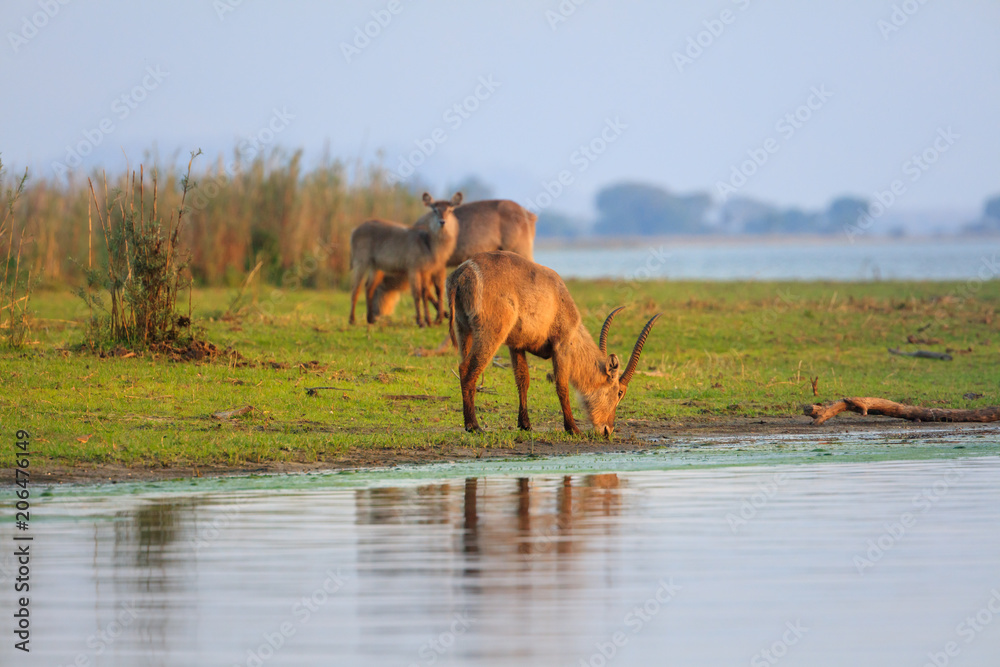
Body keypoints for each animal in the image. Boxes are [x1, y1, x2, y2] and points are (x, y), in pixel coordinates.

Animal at [349, 192, 461, 327]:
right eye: (434, 210)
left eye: (450, 210)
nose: (442, 222)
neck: (428, 243)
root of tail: (354, 230)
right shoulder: (413, 269)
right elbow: (417, 294)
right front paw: (420, 321)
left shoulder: (426, 271)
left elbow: (425, 293)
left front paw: (428, 321)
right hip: (361, 261)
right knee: (356, 288)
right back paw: (352, 320)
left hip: (376, 266)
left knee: (369, 287)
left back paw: (370, 319)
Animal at [365, 199, 537, 324]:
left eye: (378, 291)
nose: (376, 315)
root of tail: (530, 214)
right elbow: (430, 290)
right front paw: (442, 315)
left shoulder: (436, 266)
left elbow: (435, 289)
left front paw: (440, 316)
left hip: (521, 249)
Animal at [447, 251, 661, 437]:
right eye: (619, 392)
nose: (608, 430)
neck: (559, 296)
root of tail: (464, 272)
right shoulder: (562, 345)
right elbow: (562, 386)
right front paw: (573, 429)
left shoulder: (516, 345)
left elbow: (523, 380)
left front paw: (525, 424)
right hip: (490, 334)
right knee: (467, 369)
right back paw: (473, 426)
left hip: (464, 330)